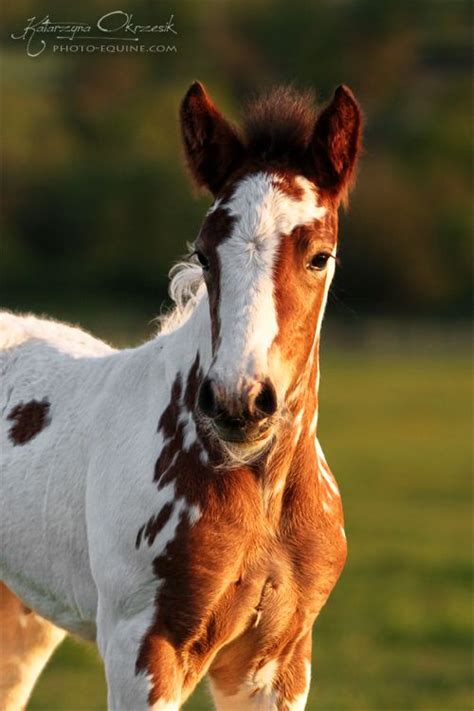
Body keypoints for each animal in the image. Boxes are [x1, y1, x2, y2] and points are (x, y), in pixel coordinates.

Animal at [0, 80, 362, 708]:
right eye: (202, 254)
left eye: (320, 256)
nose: (239, 402)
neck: (260, 490)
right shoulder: (144, 649)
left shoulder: (278, 661)